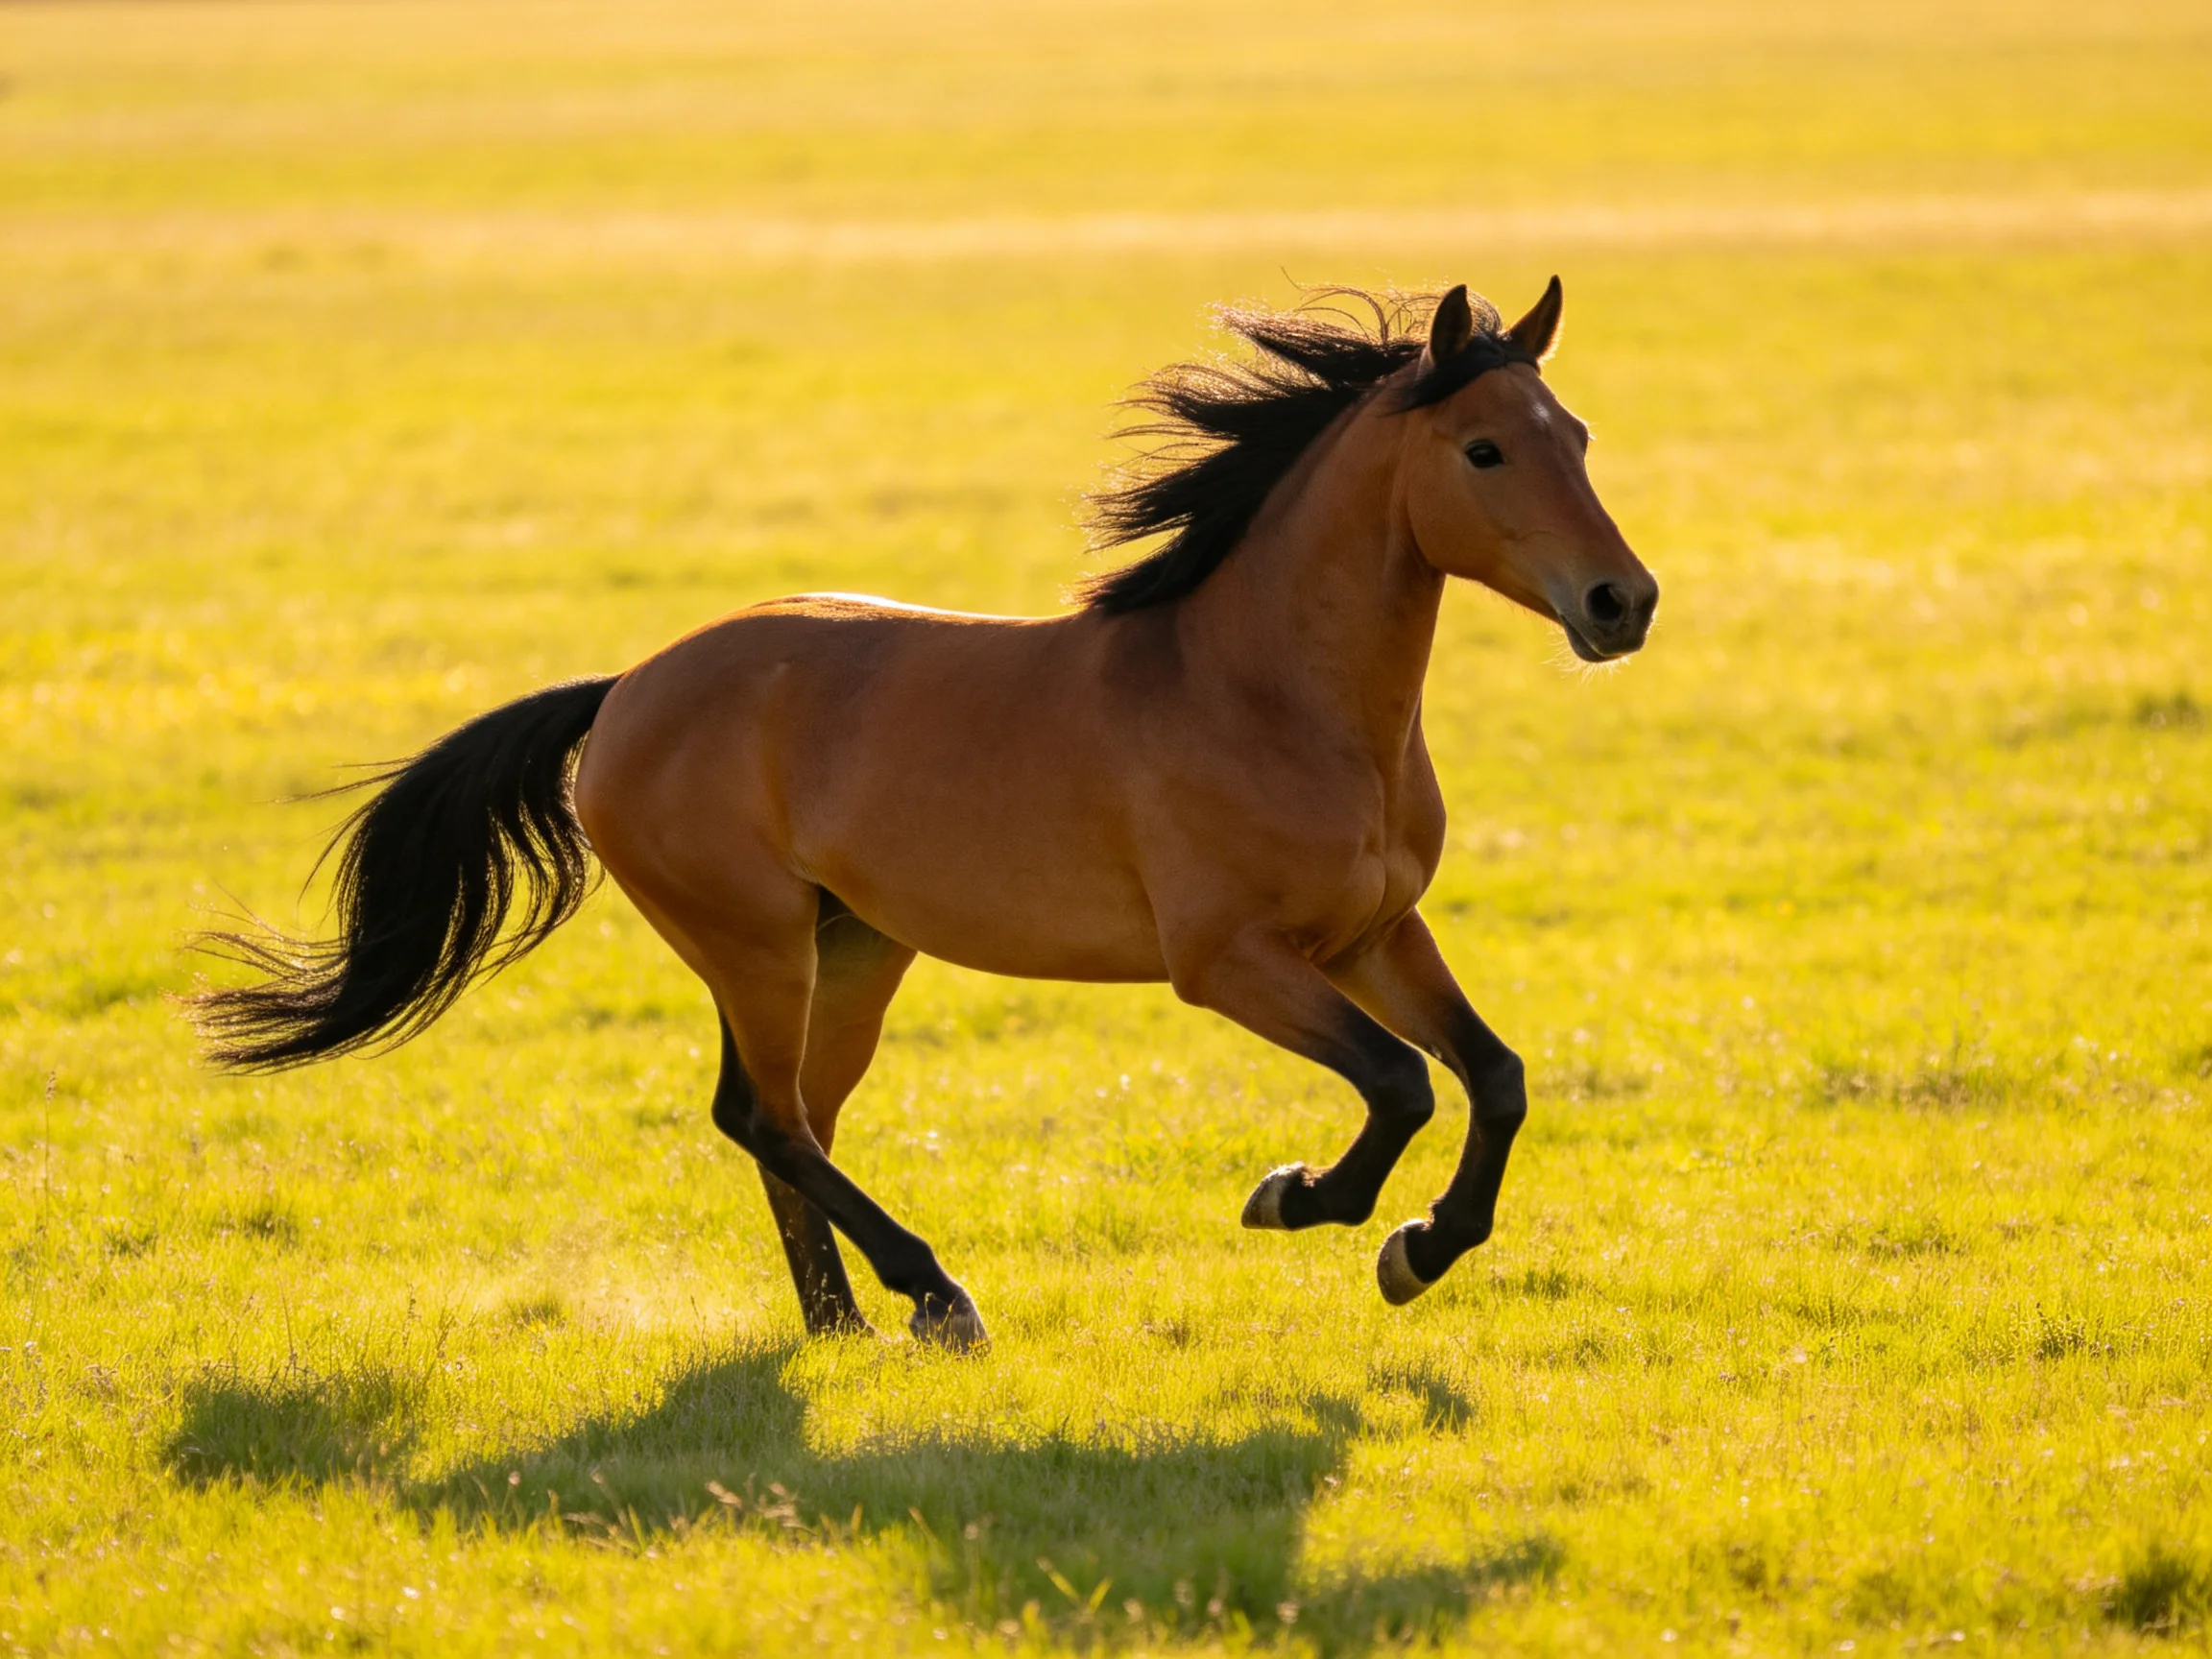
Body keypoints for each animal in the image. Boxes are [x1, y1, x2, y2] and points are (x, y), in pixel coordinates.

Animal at [193, 280, 1658, 1351]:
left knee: (791, 1121)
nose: (1620, 603)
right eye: (1483, 449)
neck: (1267, 694)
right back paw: (932, 1294)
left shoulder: (1373, 935)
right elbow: (1401, 1083)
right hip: (755, 943)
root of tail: (626, 692)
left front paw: (1420, 1250)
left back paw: (842, 1321)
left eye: (1579, 436)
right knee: (764, 1120)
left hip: (853, 948)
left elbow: (1494, 1077)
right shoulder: (1230, 963)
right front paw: (1305, 1202)